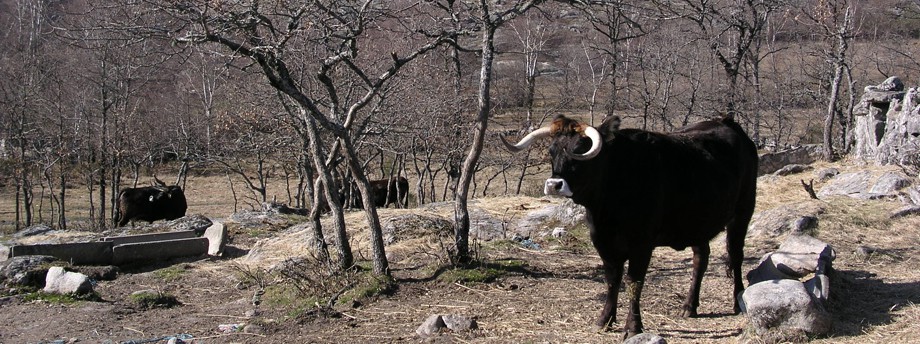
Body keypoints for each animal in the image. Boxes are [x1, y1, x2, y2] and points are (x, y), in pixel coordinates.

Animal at [504, 113, 756, 338]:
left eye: (580, 151)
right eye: (552, 151)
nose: (554, 185)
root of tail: (728, 122)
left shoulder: (641, 244)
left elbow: (634, 282)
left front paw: (633, 326)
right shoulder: (602, 241)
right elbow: (612, 280)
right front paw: (605, 319)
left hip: (743, 212)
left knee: (736, 255)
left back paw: (738, 301)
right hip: (697, 223)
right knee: (700, 259)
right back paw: (689, 306)